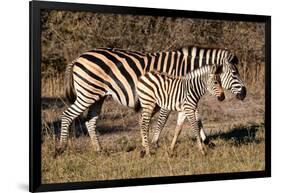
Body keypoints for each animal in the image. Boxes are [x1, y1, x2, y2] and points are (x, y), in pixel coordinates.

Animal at [54, 46, 245, 157]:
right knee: (67, 115)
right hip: (87, 93)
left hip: (97, 96)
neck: (185, 69)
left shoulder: (180, 95)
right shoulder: (169, 94)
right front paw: (154, 143)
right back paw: (60, 149)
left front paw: (207, 141)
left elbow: (196, 118)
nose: (244, 93)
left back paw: (99, 151)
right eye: (234, 74)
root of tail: (78, 57)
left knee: (90, 121)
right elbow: (163, 121)